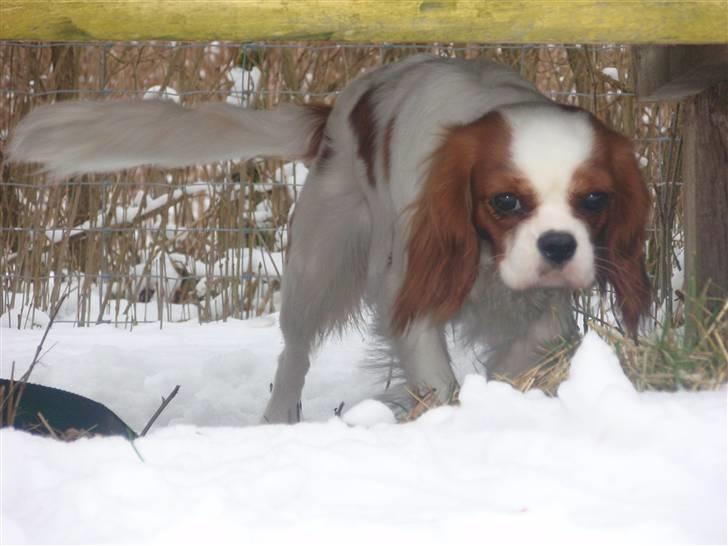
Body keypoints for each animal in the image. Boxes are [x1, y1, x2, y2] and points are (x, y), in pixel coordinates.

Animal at [8, 54, 652, 420]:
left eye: (595, 200)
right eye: (505, 202)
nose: (558, 246)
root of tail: (333, 114)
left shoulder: (541, 315)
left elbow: (530, 357)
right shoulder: (407, 297)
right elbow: (437, 381)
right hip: (317, 269)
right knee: (293, 353)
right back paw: (276, 420)